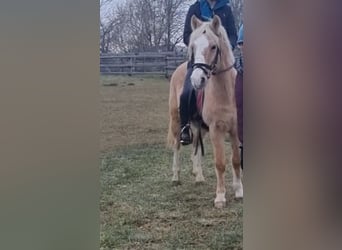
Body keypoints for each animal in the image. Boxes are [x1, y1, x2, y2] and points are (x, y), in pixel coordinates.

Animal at [166, 14, 242, 208]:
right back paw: (175, 176)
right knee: (177, 146)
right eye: (192, 47)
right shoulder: (216, 129)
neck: (226, 92)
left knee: (195, 147)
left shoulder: (235, 129)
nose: (197, 80)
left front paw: (239, 191)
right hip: (177, 121)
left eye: (214, 46)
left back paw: (198, 175)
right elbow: (220, 163)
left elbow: (236, 161)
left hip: (200, 126)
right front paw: (220, 197)